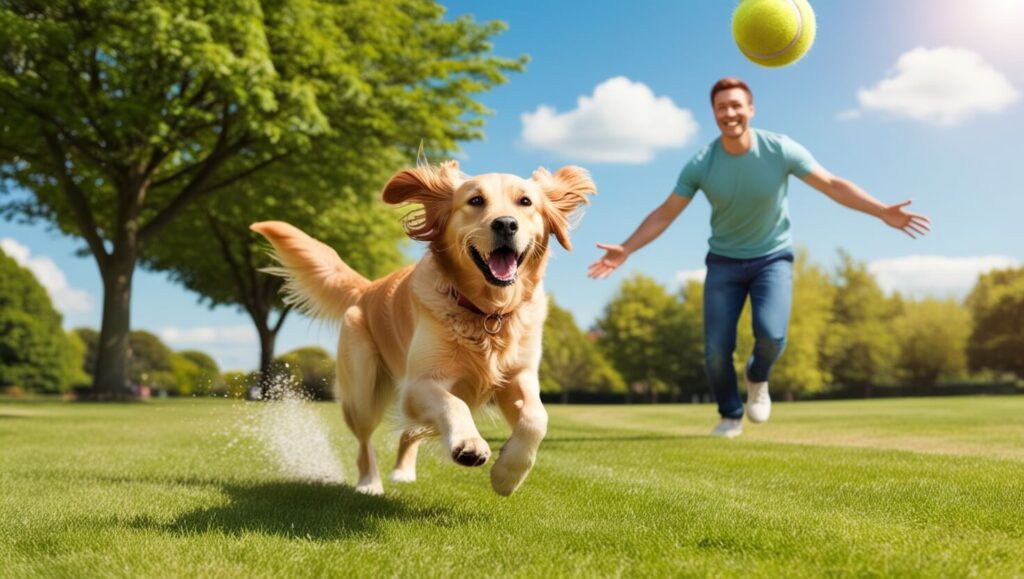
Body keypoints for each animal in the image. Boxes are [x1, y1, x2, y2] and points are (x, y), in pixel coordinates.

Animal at [250, 159, 598, 493]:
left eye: (525, 201)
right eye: (475, 200)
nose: (505, 223)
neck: (487, 312)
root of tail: (367, 288)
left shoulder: (518, 376)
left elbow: (537, 418)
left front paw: (507, 475)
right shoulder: (418, 383)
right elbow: (454, 403)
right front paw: (470, 443)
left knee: (410, 432)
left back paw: (403, 473)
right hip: (362, 391)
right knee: (365, 441)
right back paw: (369, 483)